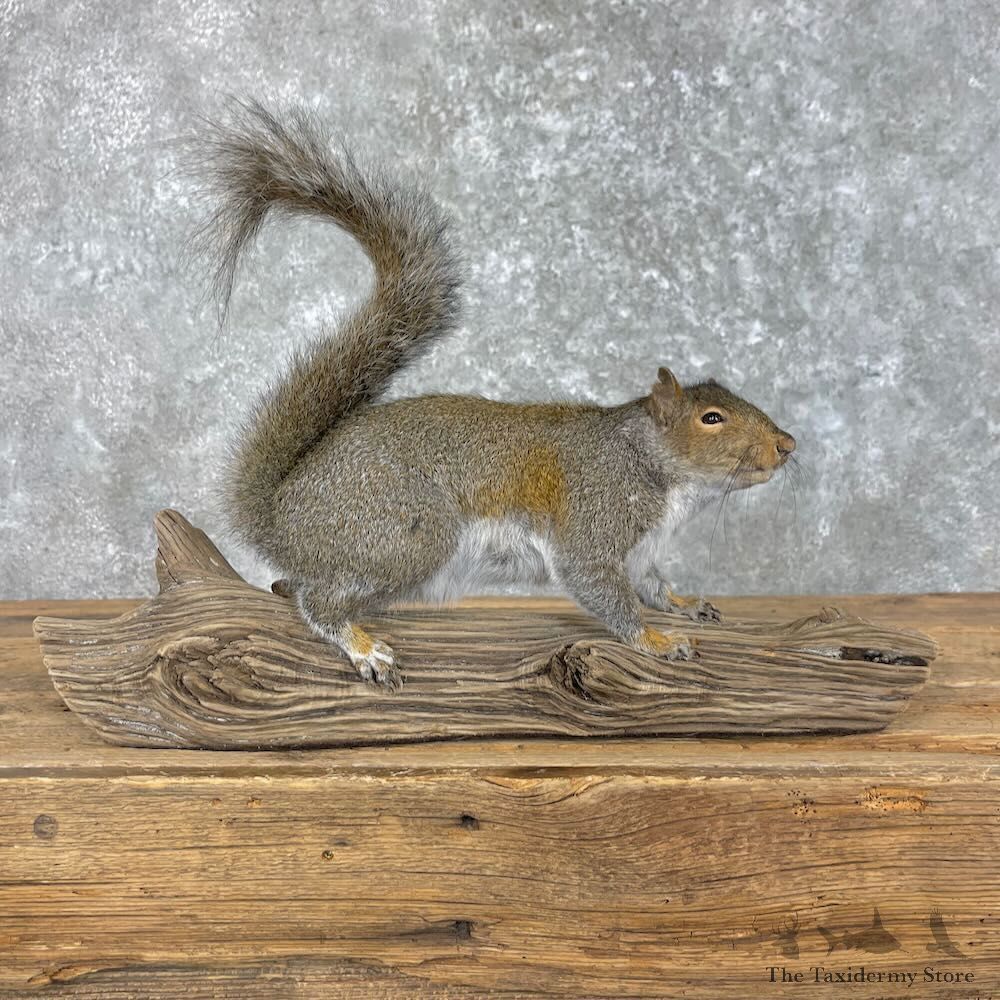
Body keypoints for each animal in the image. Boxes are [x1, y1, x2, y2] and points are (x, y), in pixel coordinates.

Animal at [194, 100, 796, 689]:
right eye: (712, 418)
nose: (788, 445)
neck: (654, 466)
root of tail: (283, 516)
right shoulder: (594, 521)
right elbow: (603, 590)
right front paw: (655, 640)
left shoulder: (642, 553)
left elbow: (653, 586)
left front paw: (686, 605)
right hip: (405, 535)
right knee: (317, 601)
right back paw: (362, 646)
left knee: (297, 585)